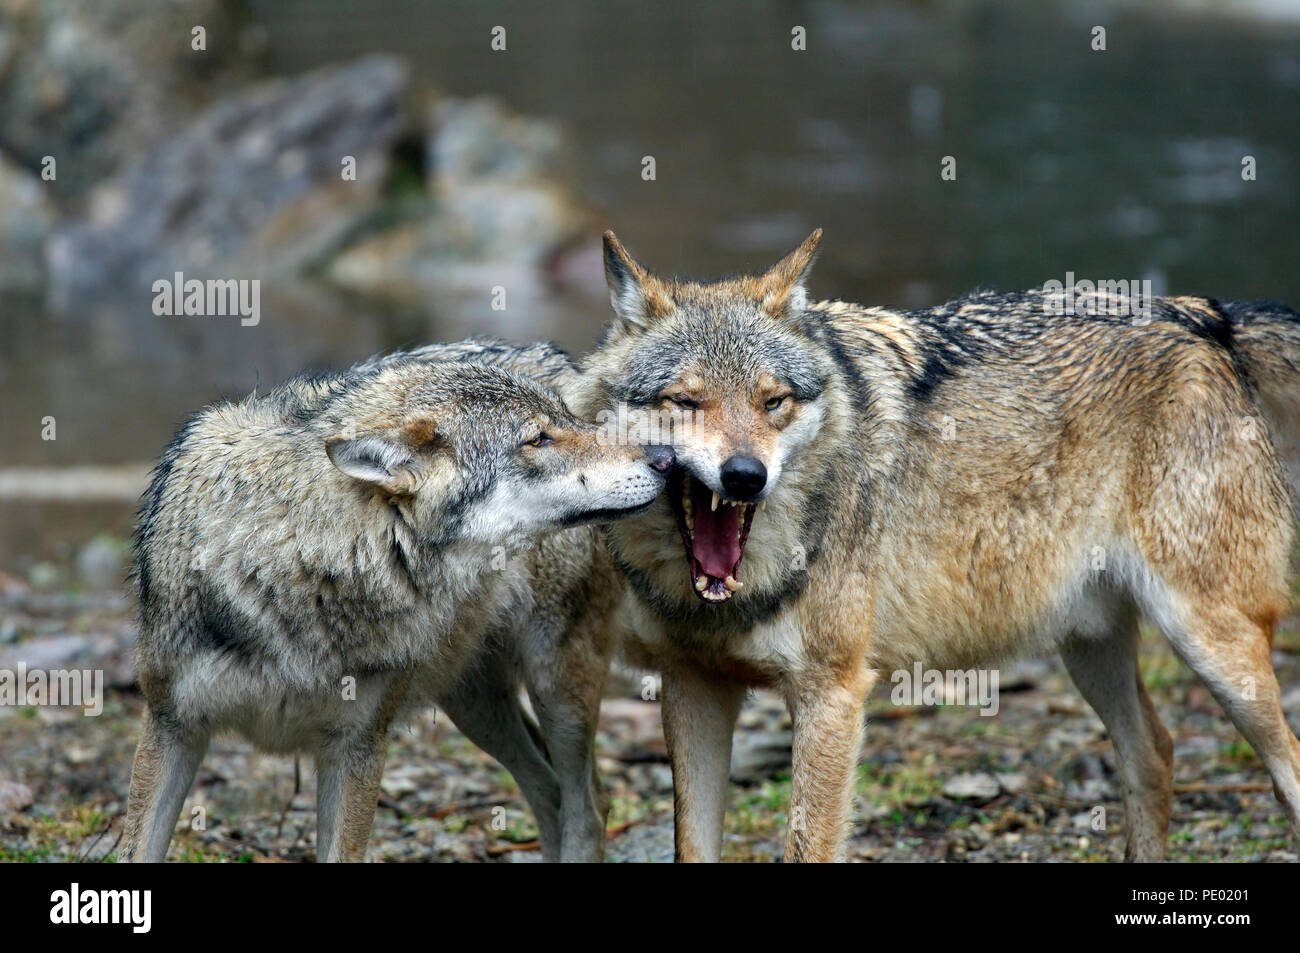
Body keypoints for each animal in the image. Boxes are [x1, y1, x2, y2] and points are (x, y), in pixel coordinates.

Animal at [122, 343, 676, 863]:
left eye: (565, 418)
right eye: (538, 438)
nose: (665, 458)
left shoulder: (359, 747)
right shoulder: (171, 726)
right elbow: (138, 846)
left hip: (556, 687)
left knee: (590, 804)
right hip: (475, 706)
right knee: (551, 793)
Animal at [569, 228, 1300, 863]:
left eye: (773, 401)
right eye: (685, 401)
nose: (746, 476)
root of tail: (1197, 313)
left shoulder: (832, 694)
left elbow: (806, 844)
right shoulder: (693, 687)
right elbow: (691, 845)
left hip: (1214, 647)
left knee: (1282, 760)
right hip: (1088, 648)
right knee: (1155, 751)